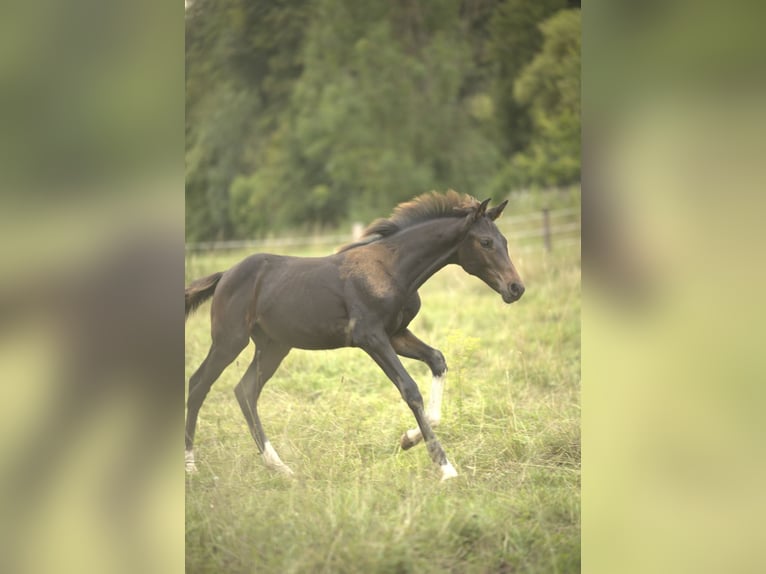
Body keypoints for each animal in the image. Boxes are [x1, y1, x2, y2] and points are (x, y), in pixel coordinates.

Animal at [184, 191, 525, 481]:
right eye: (485, 242)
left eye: (504, 241)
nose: (516, 288)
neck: (392, 270)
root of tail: (225, 275)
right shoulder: (370, 337)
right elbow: (410, 389)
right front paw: (446, 468)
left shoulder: (397, 334)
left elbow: (437, 360)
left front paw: (408, 439)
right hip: (230, 340)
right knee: (199, 384)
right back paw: (191, 465)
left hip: (274, 346)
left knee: (245, 391)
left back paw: (279, 466)